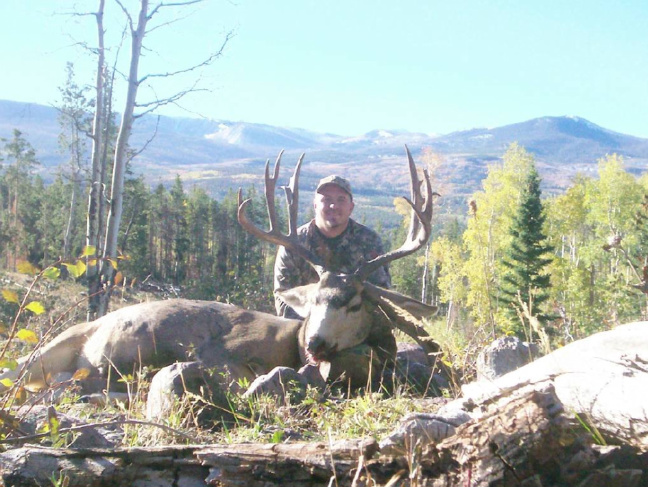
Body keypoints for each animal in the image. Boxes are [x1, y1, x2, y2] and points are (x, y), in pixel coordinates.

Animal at [0, 148, 440, 400]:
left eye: (354, 303)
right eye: (313, 300)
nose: (315, 341)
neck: (291, 346)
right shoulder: (224, 353)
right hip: (76, 347)